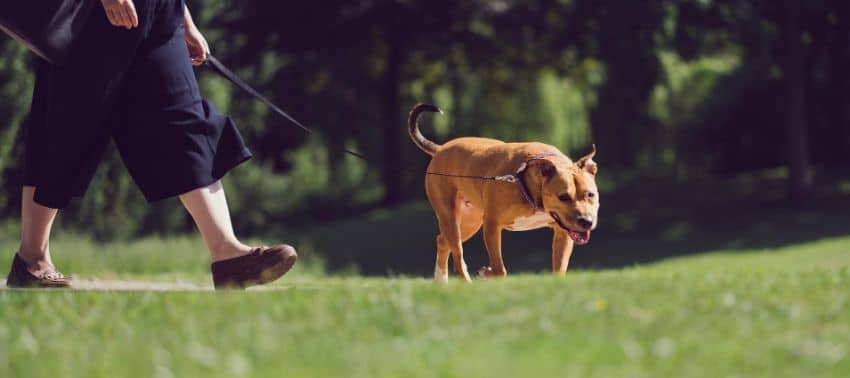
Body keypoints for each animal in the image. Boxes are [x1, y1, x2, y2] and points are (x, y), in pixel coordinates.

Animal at [410, 102, 596, 280]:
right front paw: (487, 273)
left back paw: (440, 282)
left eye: (590, 194)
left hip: (471, 221)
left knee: (443, 241)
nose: (586, 221)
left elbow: (559, 269)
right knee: (458, 256)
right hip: (450, 216)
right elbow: (499, 269)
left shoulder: (562, 233)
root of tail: (440, 149)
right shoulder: (492, 225)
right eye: (563, 196)